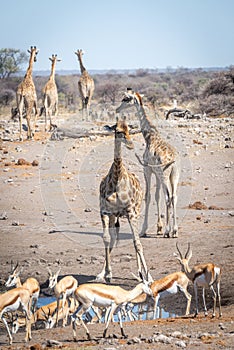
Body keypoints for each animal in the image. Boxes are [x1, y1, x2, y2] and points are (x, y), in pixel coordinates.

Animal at [97, 116, 152, 284]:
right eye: (118, 131)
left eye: (129, 130)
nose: (130, 144)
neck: (115, 181)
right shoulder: (105, 211)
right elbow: (107, 239)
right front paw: (107, 274)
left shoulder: (130, 212)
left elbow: (137, 243)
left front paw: (147, 276)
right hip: (115, 216)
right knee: (113, 239)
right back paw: (102, 274)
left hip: (136, 211)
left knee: (137, 241)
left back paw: (143, 274)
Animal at [116, 89, 180, 239]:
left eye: (126, 98)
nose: (117, 109)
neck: (149, 135)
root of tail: (173, 161)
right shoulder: (155, 173)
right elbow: (157, 196)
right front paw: (159, 228)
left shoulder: (147, 170)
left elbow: (148, 196)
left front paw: (144, 230)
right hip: (174, 175)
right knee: (173, 196)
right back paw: (174, 231)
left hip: (164, 175)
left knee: (168, 197)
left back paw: (168, 231)